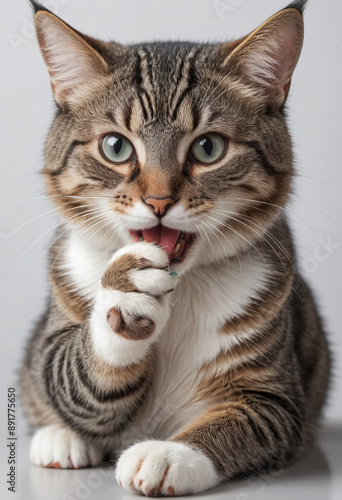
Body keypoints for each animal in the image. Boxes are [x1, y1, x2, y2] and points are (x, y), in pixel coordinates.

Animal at [20, 0, 332, 496]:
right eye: (115, 147)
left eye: (208, 148)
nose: (159, 201)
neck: (181, 286)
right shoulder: (62, 307)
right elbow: (66, 375)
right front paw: (124, 296)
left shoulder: (278, 396)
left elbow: (245, 419)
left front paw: (169, 454)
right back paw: (59, 439)